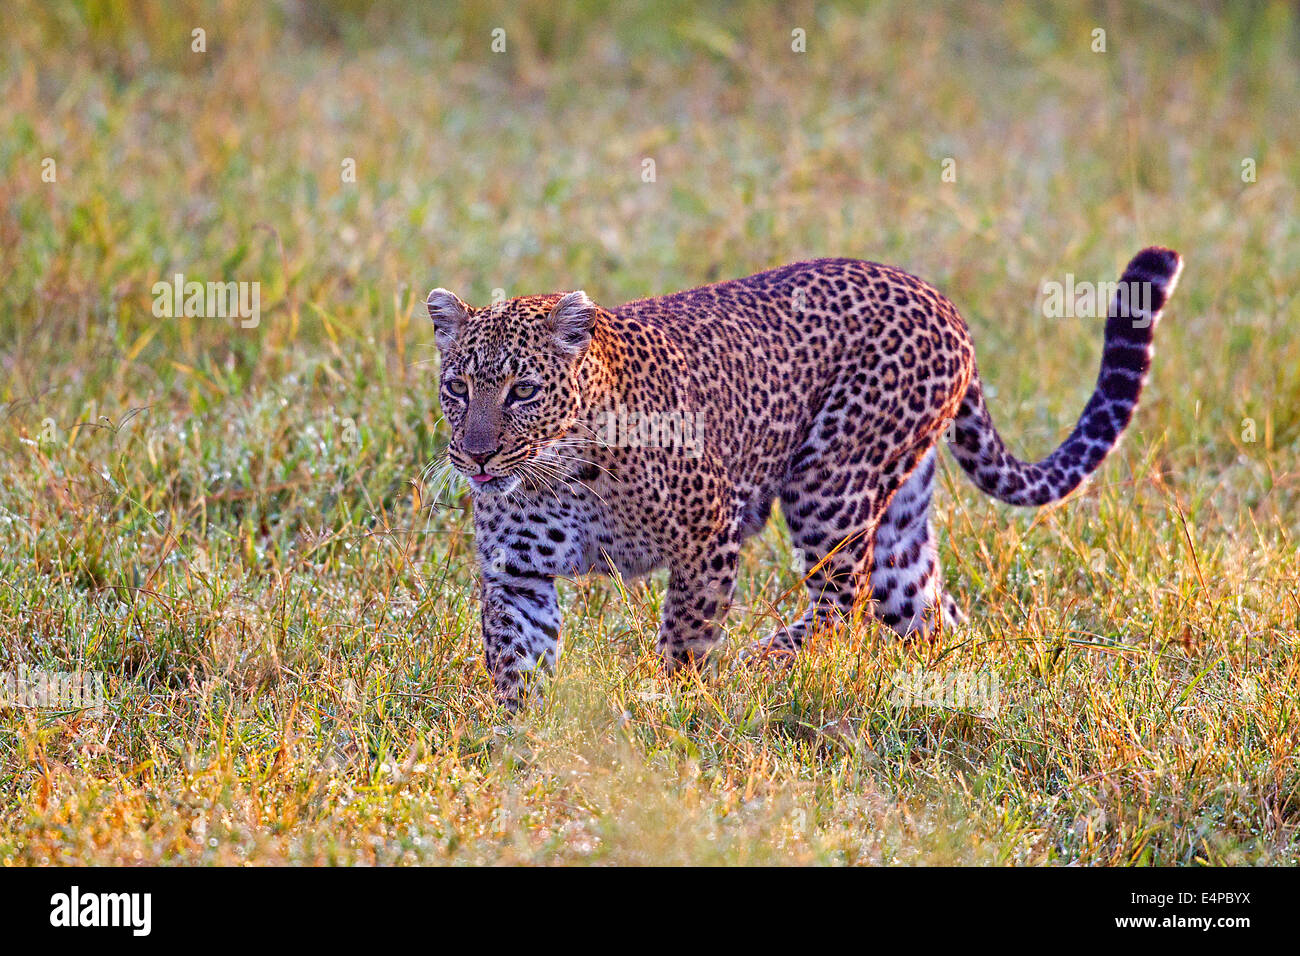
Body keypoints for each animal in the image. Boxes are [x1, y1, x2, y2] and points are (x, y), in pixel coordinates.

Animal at [428, 247, 1190, 712]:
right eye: (457, 388)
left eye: (523, 391)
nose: (477, 457)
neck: (558, 471)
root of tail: (941, 302)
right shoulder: (516, 571)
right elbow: (517, 661)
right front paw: (526, 743)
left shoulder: (710, 538)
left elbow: (686, 638)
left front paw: (675, 703)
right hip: (899, 528)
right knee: (929, 611)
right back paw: (957, 687)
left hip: (831, 481)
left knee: (840, 604)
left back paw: (767, 657)